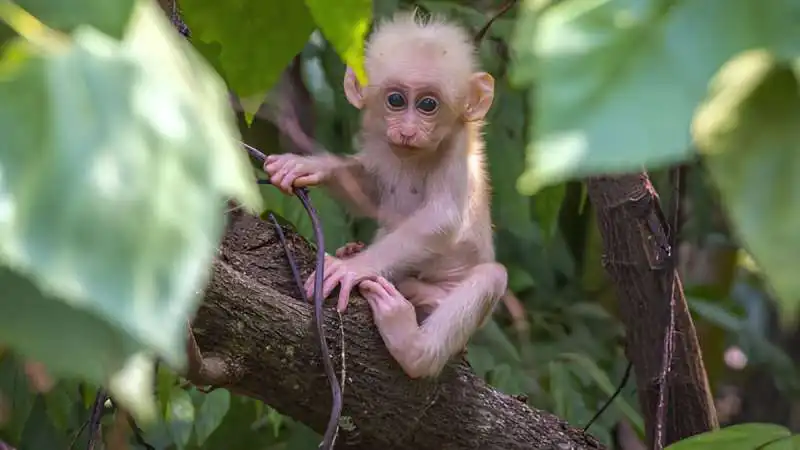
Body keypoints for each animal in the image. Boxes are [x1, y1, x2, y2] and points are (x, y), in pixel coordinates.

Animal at [264, 12, 508, 379]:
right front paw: (310, 165)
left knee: (491, 276)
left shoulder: (457, 147)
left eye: (428, 105)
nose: (407, 131)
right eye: (396, 100)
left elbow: (443, 217)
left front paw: (352, 268)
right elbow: (371, 191)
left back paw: (412, 345)